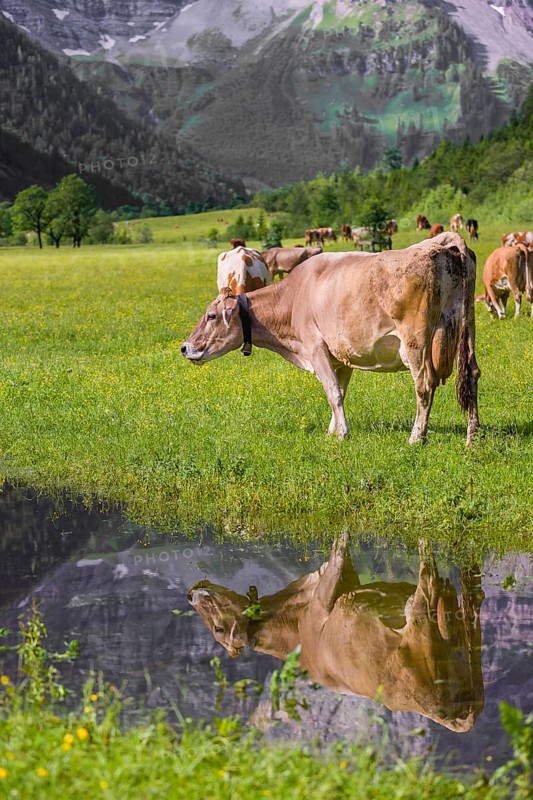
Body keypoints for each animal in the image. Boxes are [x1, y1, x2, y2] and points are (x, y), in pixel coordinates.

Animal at [182, 233, 480, 446]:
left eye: (210, 316)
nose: (185, 347)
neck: (294, 296)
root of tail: (445, 241)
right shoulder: (342, 356)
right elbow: (340, 393)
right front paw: (332, 430)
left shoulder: (316, 349)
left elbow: (333, 392)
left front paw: (342, 434)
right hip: (467, 330)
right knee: (472, 374)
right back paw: (472, 435)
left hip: (415, 342)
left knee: (424, 384)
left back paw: (416, 436)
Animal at [188, 533, 484, 733]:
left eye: (218, 628)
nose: (191, 594)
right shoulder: (328, 591)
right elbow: (339, 548)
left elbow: (339, 546)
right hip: (425, 627)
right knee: (433, 583)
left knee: (466, 602)